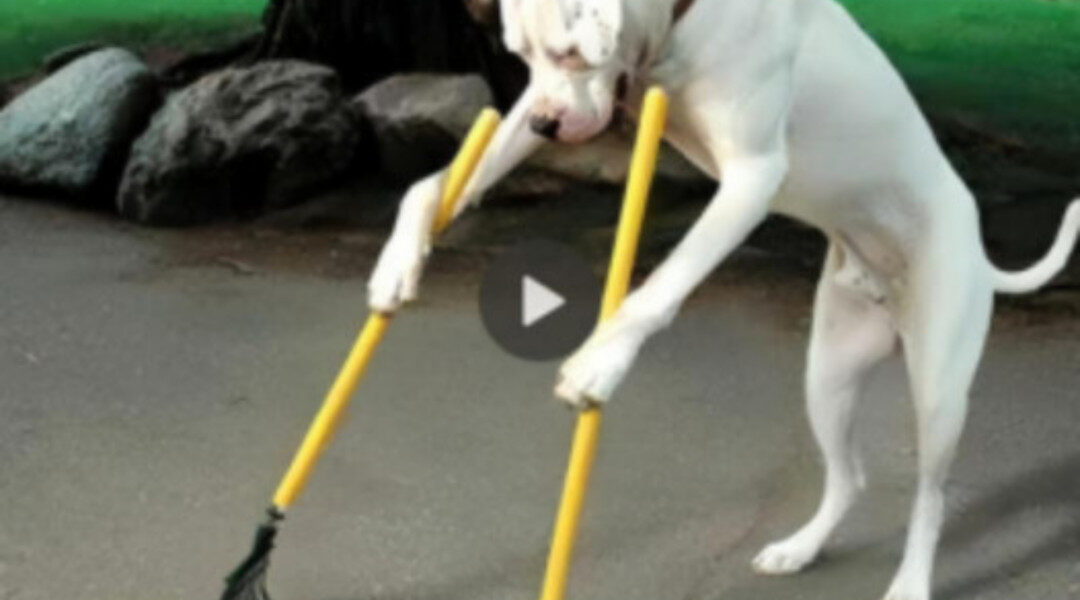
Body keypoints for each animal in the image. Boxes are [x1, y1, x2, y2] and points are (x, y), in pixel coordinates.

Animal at [365, 2, 1080, 595]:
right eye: (521, 54)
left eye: (570, 53)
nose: (545, 120)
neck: (678, 29)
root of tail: (979, 251)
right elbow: (432, 185)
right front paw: (400, 259)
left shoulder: (752, 178)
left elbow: (662, 286)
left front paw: (602, 363)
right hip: (828, 375)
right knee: (849, 477)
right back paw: (799, 549)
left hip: (938, 393)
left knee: (930, 499)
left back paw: (909, 582)